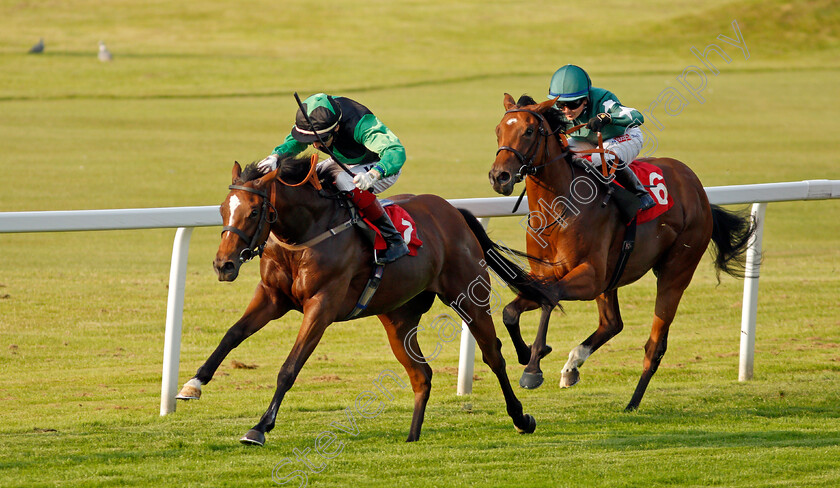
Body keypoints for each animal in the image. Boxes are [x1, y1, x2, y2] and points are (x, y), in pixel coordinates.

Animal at [177, 156, 548, 446]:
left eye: (254, 212)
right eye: (222, 209)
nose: (223, 265)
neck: (305, 234)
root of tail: (453, 212)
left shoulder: (322, 305)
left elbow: (289, 368)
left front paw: (259, 427)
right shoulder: (271, 296)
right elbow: (232, 335)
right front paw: (193, 384)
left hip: (468, 296)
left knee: (493, 355)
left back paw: (521, 417)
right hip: (399, 317)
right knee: (421, 374)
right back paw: (412, 436)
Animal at [488, 93, 752, 410]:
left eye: (528, 131)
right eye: (498, 130)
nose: (499, 176)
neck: (560, 209)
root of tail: (697, 188)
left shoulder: (588, 277)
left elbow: (549, 299)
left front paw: (533, 367)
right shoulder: (548, 273)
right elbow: (510, 312)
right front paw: (527, 353)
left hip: (676, 271)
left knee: (655, 345)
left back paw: (632, 403)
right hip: (611, 278)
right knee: (612, 323)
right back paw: (572, 367)